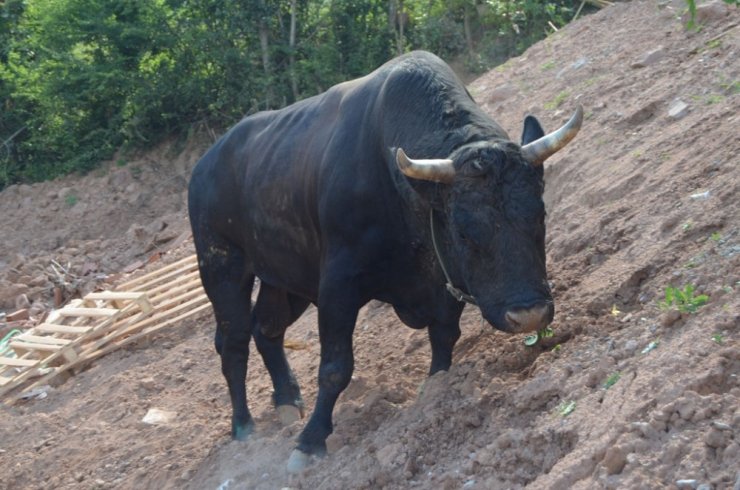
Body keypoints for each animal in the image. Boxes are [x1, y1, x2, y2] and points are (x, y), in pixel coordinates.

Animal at [188, 48, 580, 470]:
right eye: (464, 231)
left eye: (539, 215)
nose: (529, 314)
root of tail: (204, 166)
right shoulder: (338, 285)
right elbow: (335, 368)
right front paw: (310, 441)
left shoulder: (442, 280)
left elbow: (444, 337)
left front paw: (436, 389)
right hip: (222, 266)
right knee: (234, 341)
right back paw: (243, 426)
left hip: (285, 277)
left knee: (267, 328)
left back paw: (287, 400)